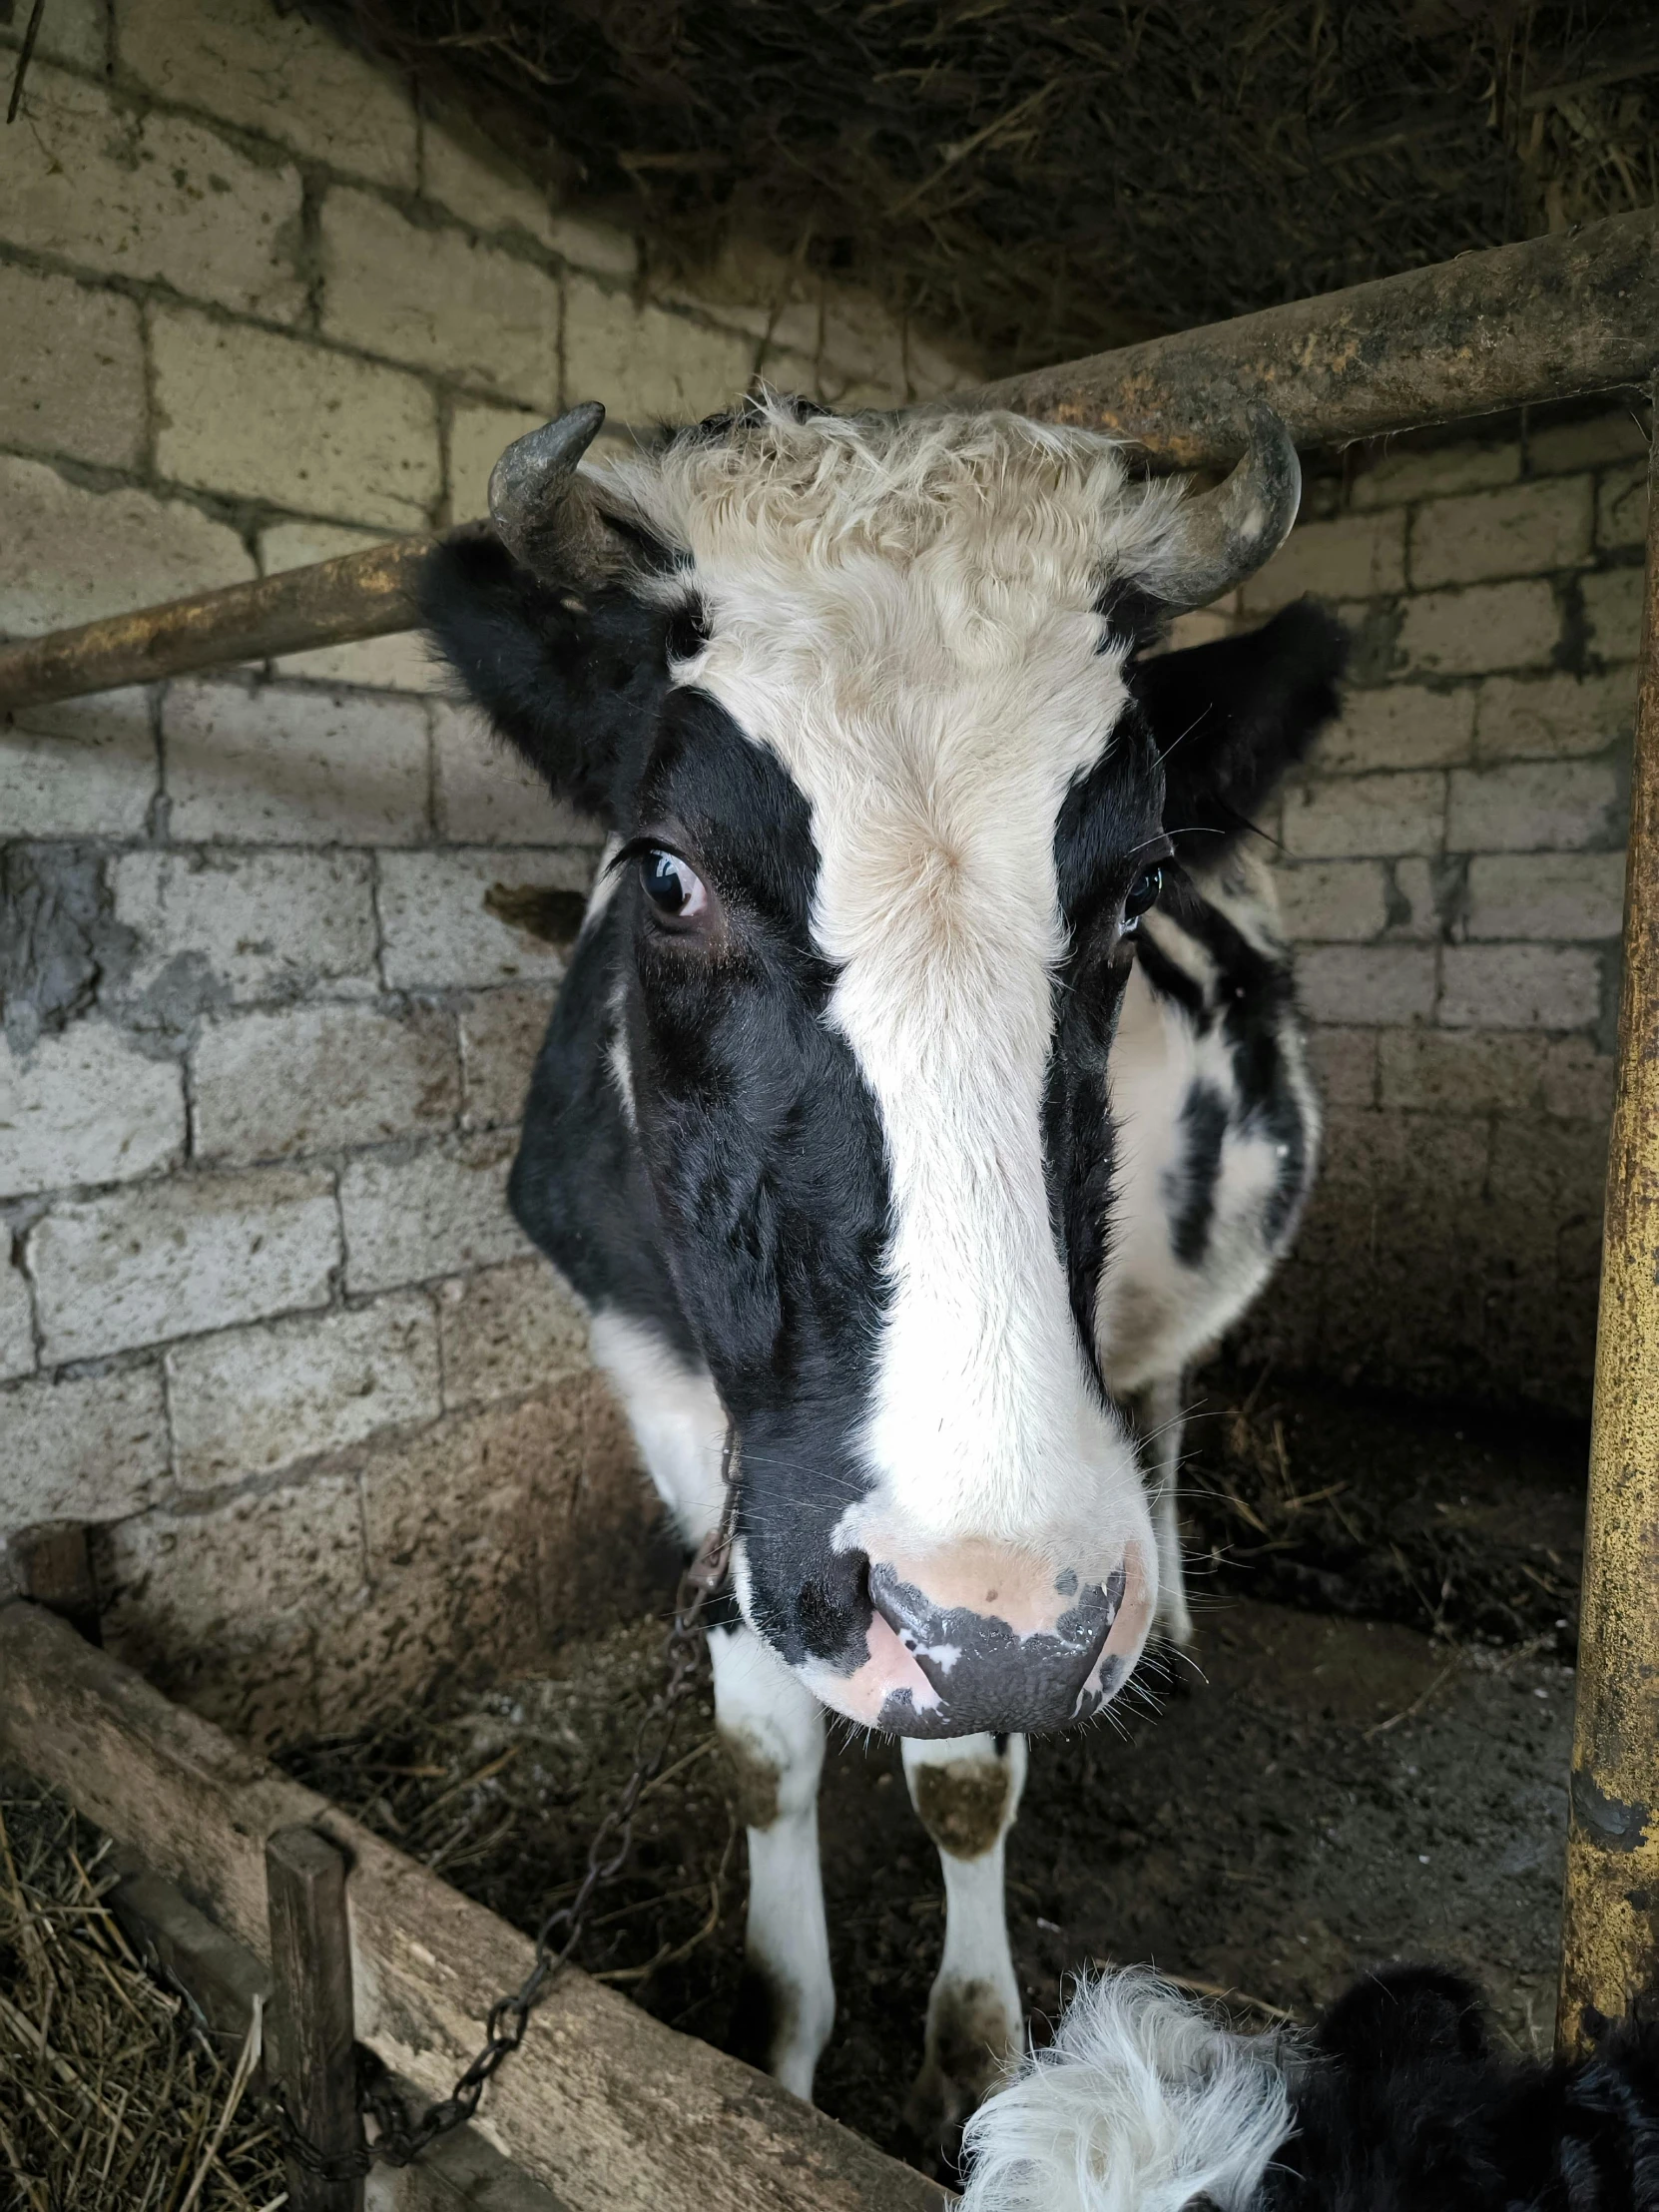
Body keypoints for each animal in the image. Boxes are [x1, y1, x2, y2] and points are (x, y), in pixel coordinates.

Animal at [422, 393, 1345, 2141]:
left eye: (1136, 889)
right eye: (665, 876)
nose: (995, 1622)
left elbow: (969, 1778)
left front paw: (974, 2053)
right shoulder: (682, 1417)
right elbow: (762, 1756)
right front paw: (775, 2052)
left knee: (1162, 1418)